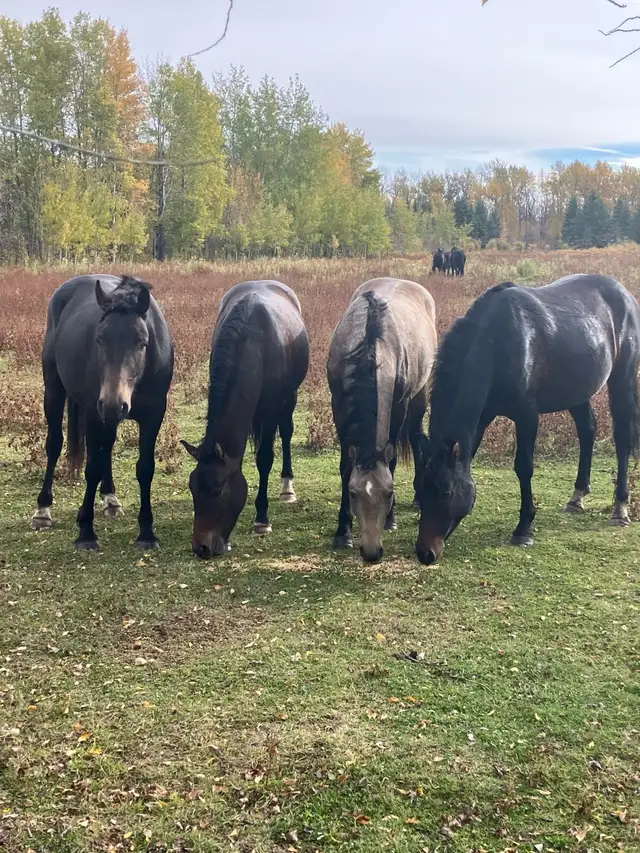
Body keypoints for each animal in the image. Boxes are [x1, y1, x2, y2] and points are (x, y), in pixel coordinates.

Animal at [31, 275, 174, 550]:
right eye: (99, 339)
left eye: (142, 343)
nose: (112, 403)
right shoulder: (95, 414)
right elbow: (93, 468)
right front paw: (86, 532)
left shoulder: (153, 416)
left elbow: (145, 469)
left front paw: (146, 532)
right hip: (54, 390)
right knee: (54, 444)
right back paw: (43, 511)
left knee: (106, 448)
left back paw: (110, 499)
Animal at [181, 280, 309, 559]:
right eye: (192, 488)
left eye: (218, 490)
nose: (201, 548)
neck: (255, 341)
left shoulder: (272, 407)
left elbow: (265, 458)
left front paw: (262, 518)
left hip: (290, 396)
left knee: (286, 432)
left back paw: (287, 487)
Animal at [328, 278, 437, 563]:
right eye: (353, 493)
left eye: (389, 492)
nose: (371, 552)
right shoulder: (338, 408)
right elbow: (345, 466)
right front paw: (343, 531)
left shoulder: (398, 408)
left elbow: (394, 460)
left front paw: (391, 519)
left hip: (419, 398)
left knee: (417, 438)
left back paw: (419, 497)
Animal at [415, 274, 640, 565]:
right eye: (421, 488)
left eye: (446, 492)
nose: (425, 553)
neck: (496, 343)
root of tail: (623, 293)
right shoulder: (484, 416)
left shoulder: (527, 416)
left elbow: (524, 467)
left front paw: (523, 529)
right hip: (576, 391)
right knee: (587, 430)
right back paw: (577, 497)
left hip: (622, 377)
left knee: (622, 439)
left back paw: (620, 508)